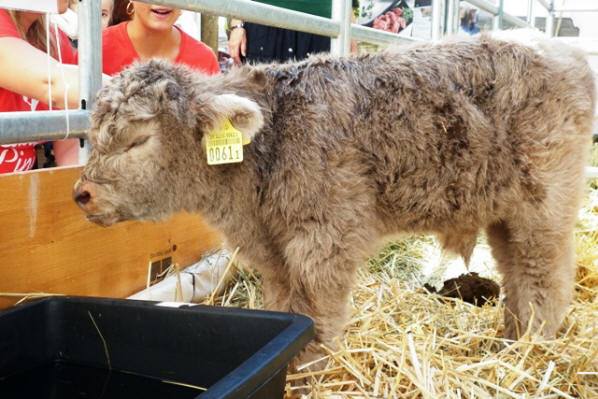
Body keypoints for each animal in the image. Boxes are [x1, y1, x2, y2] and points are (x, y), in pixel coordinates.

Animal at [74, 36, 596, 364]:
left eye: (138, 140)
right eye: (94, 135)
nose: (81, 193)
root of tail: (561, 49)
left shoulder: (322, 239)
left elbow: (316, 316)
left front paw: (310, 368)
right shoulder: (274, 252)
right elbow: (287, 308)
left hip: (544, 206)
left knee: (544, 278)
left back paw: (531, 348)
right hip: (506, 212)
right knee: (517, 276)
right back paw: (510, 341)